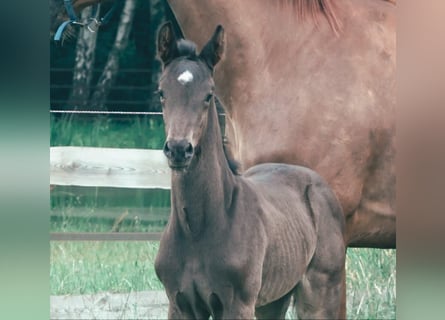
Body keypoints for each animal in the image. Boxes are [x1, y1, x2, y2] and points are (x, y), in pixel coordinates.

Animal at [154, 21, 346, 318]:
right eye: (162, 92)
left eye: (208, 95)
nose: (178, 149)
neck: (197, 229)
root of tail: (318, 182)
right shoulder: (180, 305)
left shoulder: (238, 305)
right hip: (273, 300)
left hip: (320, 291)